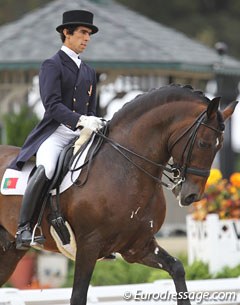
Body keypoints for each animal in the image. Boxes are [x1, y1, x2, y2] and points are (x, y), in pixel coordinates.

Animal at [0, 83, 237, 304]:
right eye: (203, 143)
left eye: (219, 147)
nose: (192, 196)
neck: (125, 169)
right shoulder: (88, 246)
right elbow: (78, 296)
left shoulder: (138, 247)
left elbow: (177, 268)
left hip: (10, 251)